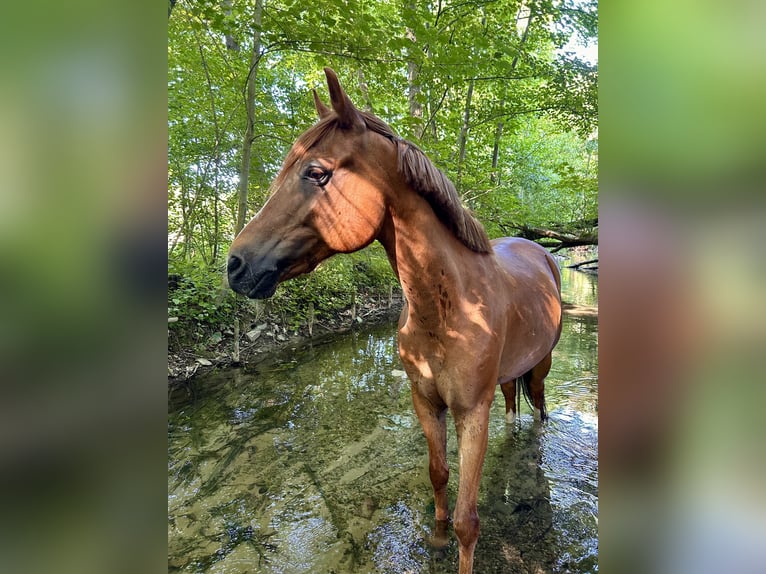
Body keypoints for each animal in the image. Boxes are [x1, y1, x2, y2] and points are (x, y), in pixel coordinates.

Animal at [227, 68, 562, 574]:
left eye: (316, 172)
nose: (235, 265)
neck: (448, 311)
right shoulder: (425, 402)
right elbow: (438, 475)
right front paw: (437, 540)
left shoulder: (471, 413)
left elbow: (468, 520)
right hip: (509, 376)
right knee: (512, 406)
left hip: (540, 366)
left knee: (539, 408)